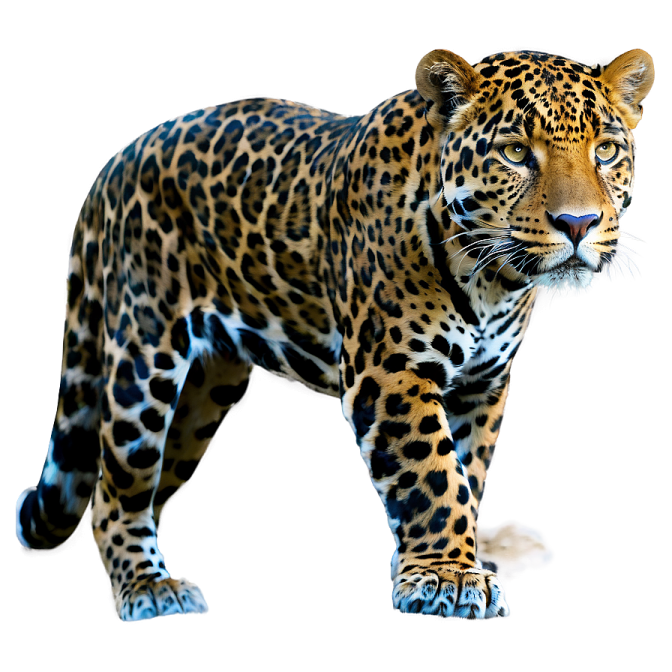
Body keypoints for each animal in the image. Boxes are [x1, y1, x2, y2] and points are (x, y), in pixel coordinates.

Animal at [15, 46, 654, 623]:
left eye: (605, 150)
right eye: (516, 153)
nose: (579, 224)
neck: (493, 282)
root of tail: (116, 161)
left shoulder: (482, 385)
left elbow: (467, 477)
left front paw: (446, 562)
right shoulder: (391, 373)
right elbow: (433, 475)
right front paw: (448, 578)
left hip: (205, 396)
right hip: (144, 359)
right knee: (112, 491)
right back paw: (147, 587)